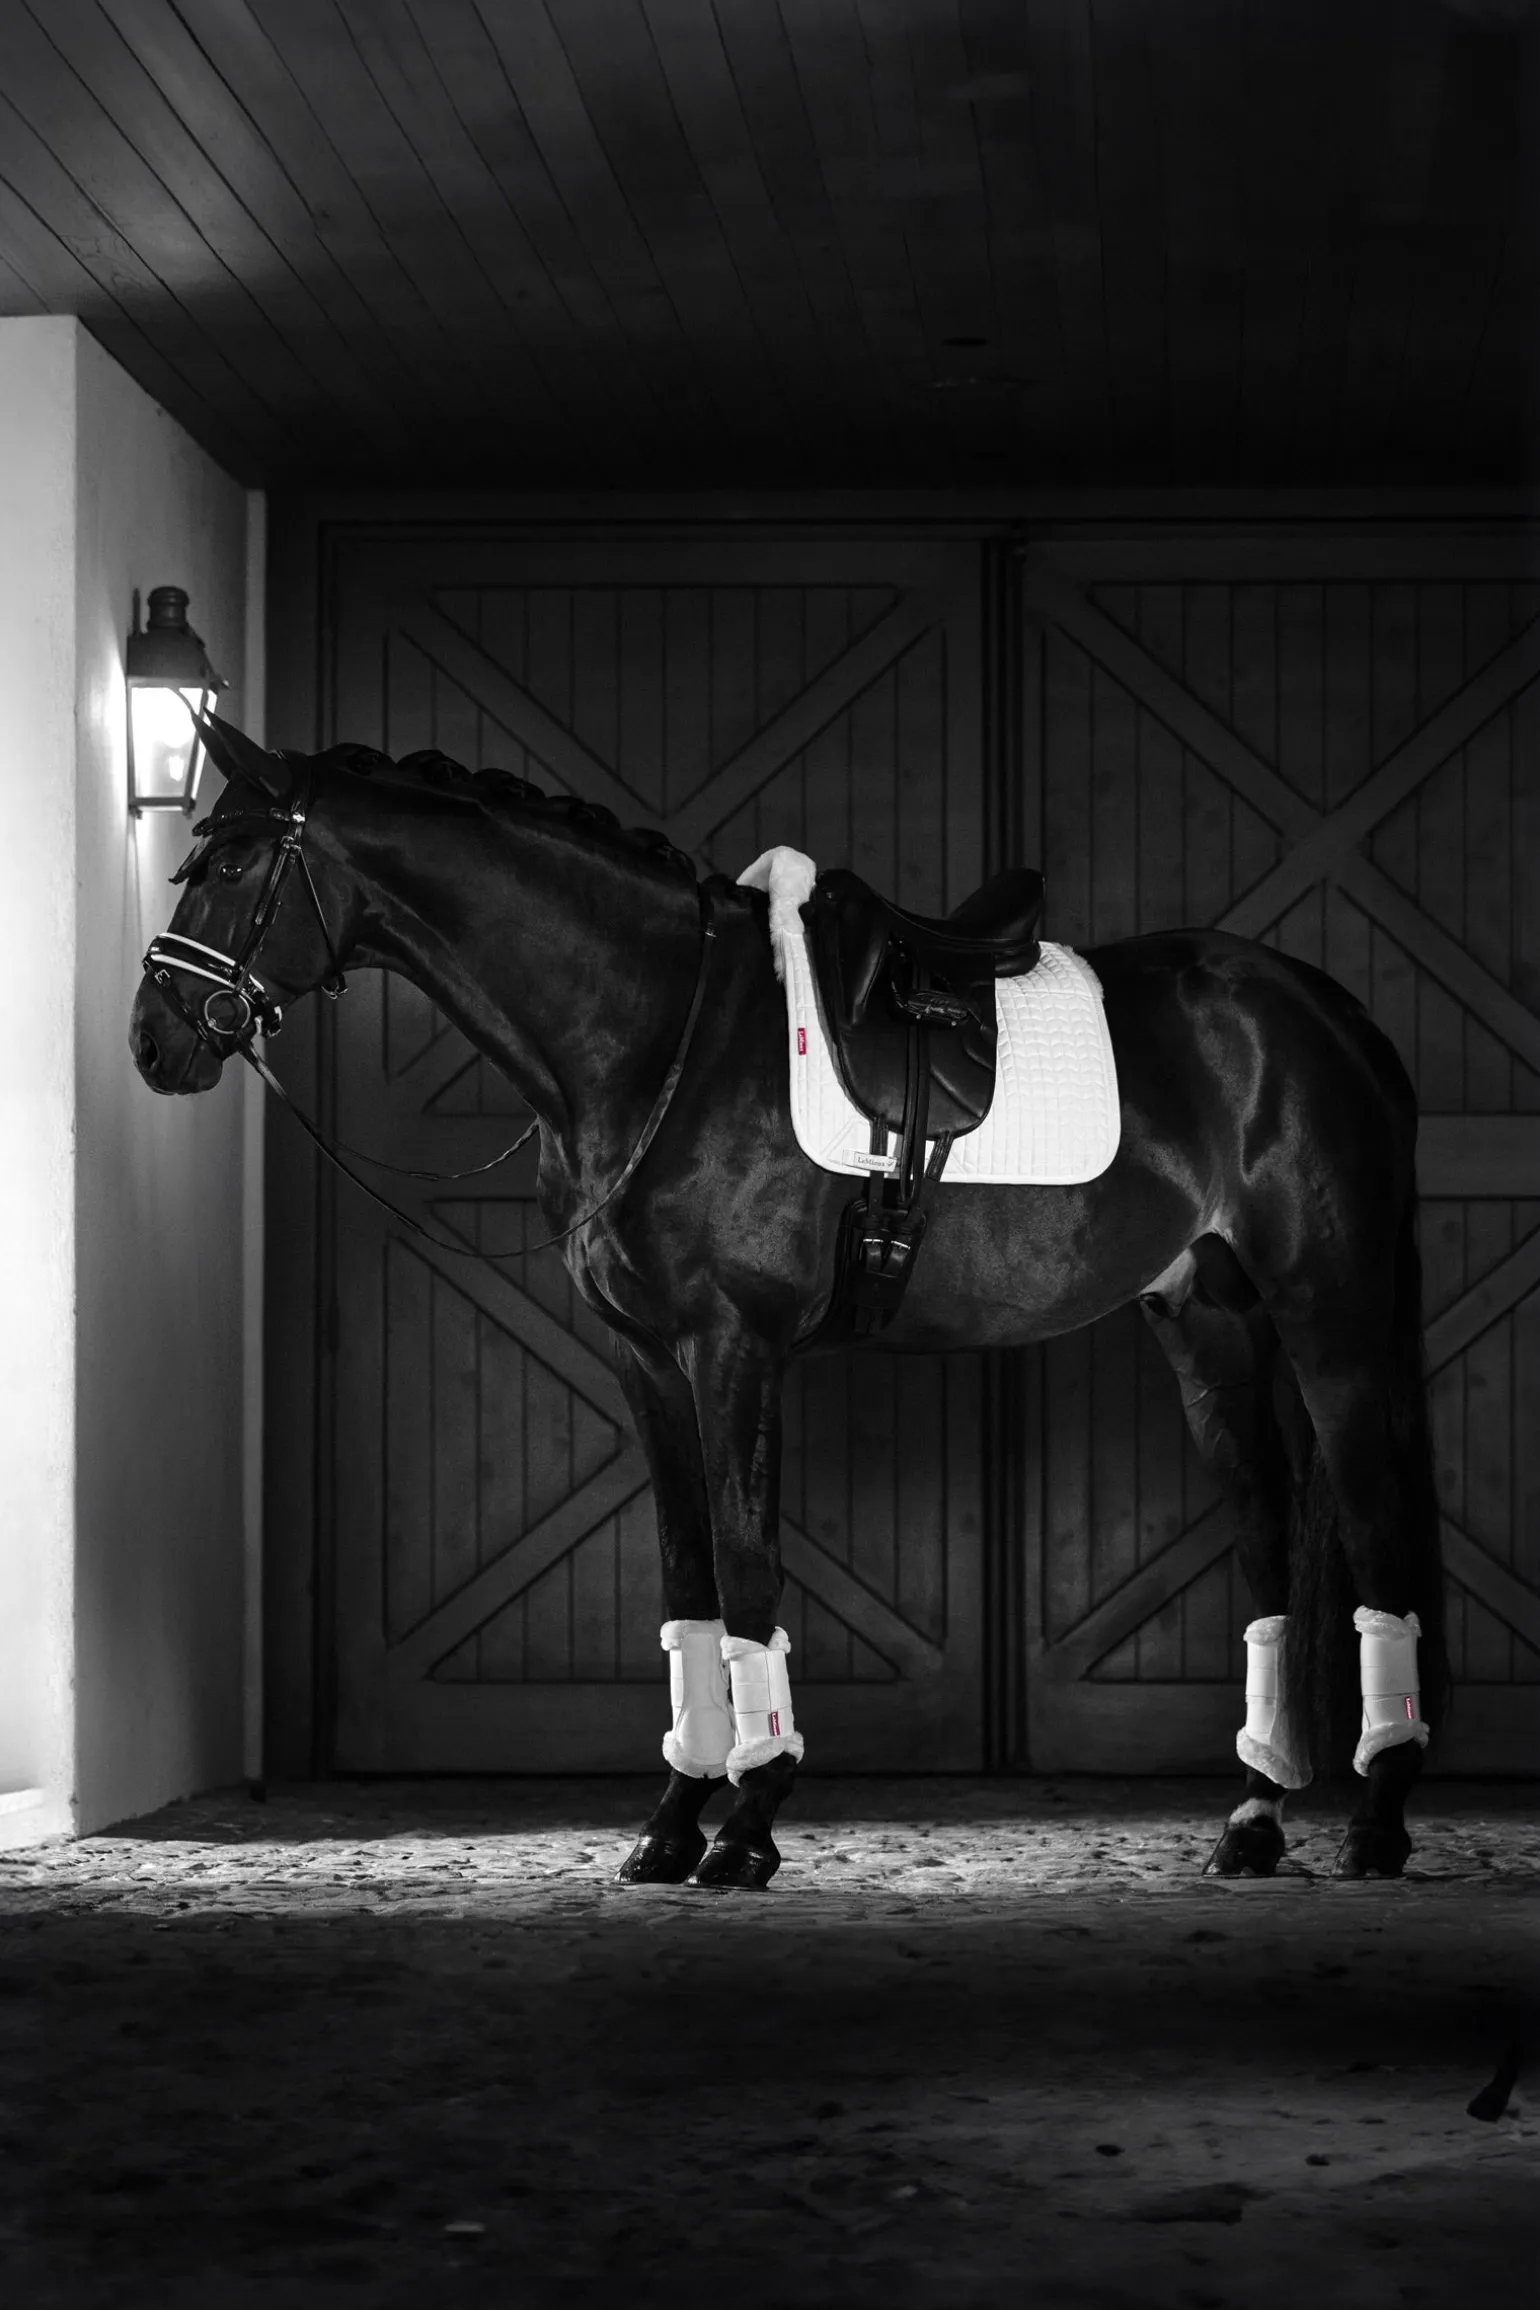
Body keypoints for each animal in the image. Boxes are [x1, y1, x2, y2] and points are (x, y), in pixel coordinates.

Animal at [130, 717, 1446, 1891]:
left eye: (233, 864)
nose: (156, 1042)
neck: (663, 1039)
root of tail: (1328, 1013)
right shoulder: (646, 1363)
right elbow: (688, 1585)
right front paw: (672, 1826)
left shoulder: (734, 1350)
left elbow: (748, 1569)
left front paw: (748, 1826)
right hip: (1207, 1325)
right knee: (1270, 1544)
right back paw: (1254, 1819)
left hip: (1329, 1320)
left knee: (1375, 1535)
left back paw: (1377, 1823)